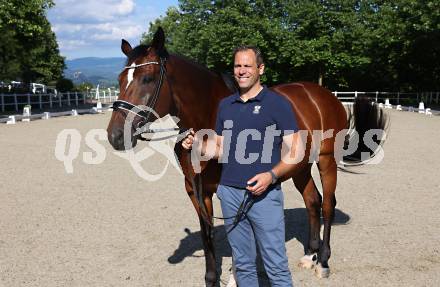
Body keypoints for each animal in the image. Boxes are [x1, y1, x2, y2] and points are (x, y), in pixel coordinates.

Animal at [107, 28, 388, 286]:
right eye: (120, 79)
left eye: (148, 78)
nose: (115, 135)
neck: (209, 116)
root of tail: (323, 95)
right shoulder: (196, 191)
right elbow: (207, 233)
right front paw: (212, 279)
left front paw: (234, 277)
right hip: (299, 167)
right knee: (313, 201)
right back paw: (310, 255)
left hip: (327, 160)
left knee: (328, 204)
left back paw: (324, 261)